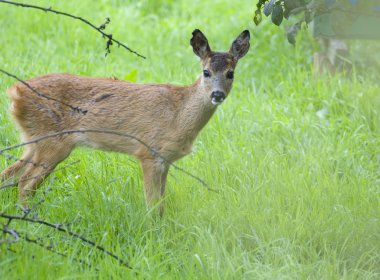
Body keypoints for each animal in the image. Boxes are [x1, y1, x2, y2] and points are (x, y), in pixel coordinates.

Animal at [1, 29, 251, 215]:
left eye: (230, 73)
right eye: (206, 72)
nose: (217, 95)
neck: (179, 114)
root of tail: (14, 92)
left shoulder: (166, 160)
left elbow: (162, 203)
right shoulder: (149, 152)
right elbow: (153, 205)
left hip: (33, 140)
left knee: (9, 176)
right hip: (52, 142)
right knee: (24, 184)